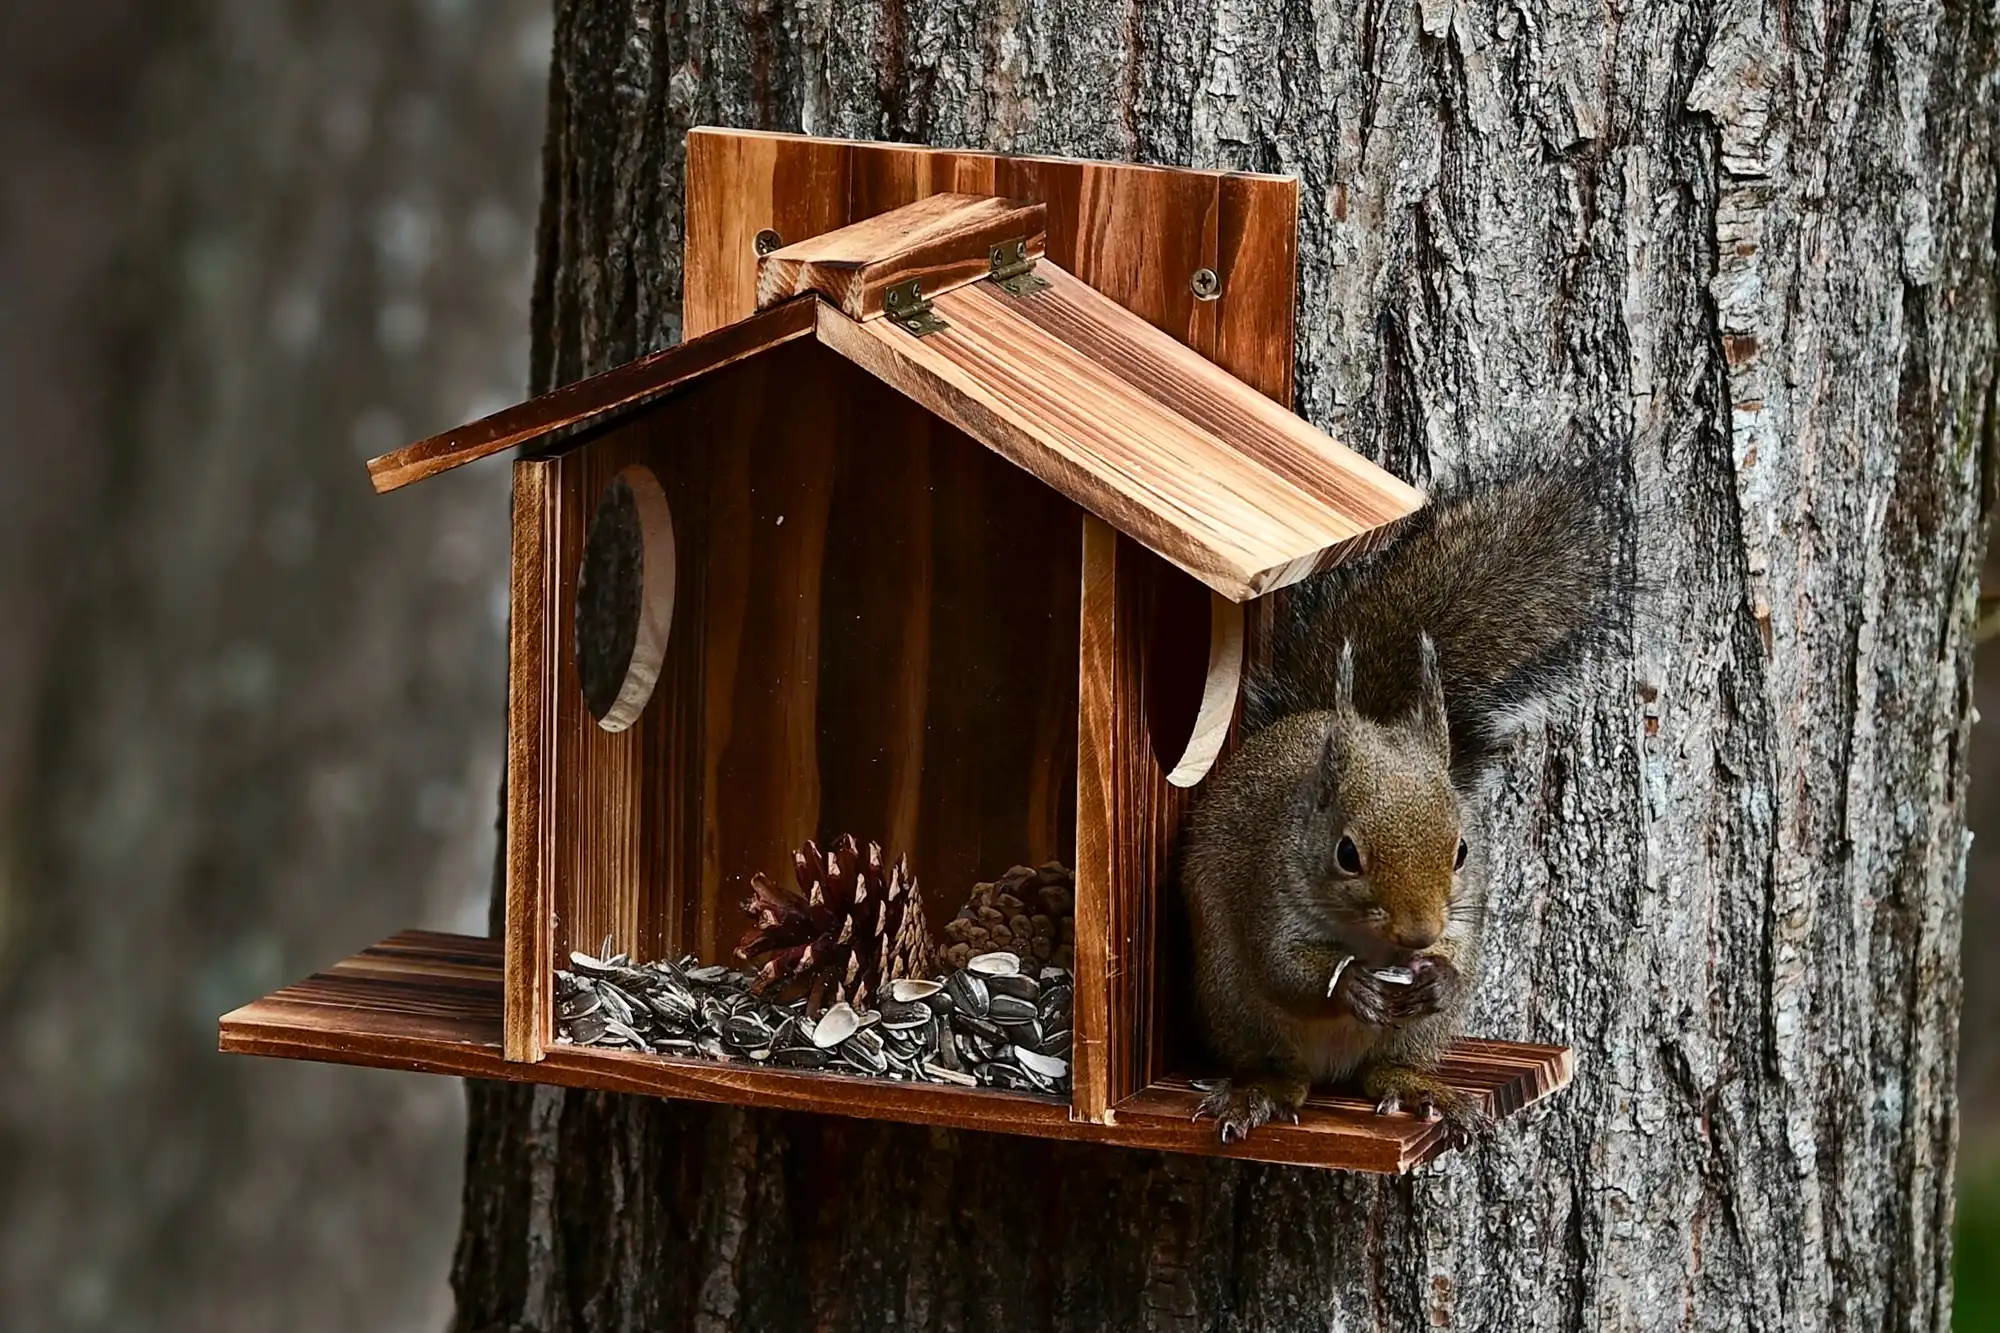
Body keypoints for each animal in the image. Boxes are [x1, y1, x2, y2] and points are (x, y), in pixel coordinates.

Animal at [1179, 466, 1620, 1143]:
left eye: (1463, 850)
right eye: (1346, 854)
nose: (1420, 935)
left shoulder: (1463, 909)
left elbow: (1458, 955)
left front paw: (1439, 976)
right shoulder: (1266, 889)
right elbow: (1285, 968)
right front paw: (1352, 985)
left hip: (1419, 1036)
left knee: (1382, 1071)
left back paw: (1419, 1087)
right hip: (1235, 1006)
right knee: (1281, 1069)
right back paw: (1260, 1093)